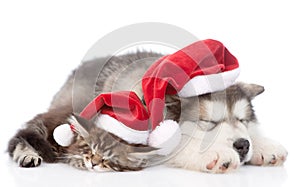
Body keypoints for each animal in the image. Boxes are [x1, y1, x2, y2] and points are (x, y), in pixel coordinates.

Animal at [8, 51, 288, 174]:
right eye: (208, 122)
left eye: (243, 119)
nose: (242, 146)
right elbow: (182, 147)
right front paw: (215, 153)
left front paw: (264, 146)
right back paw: (27, 154)